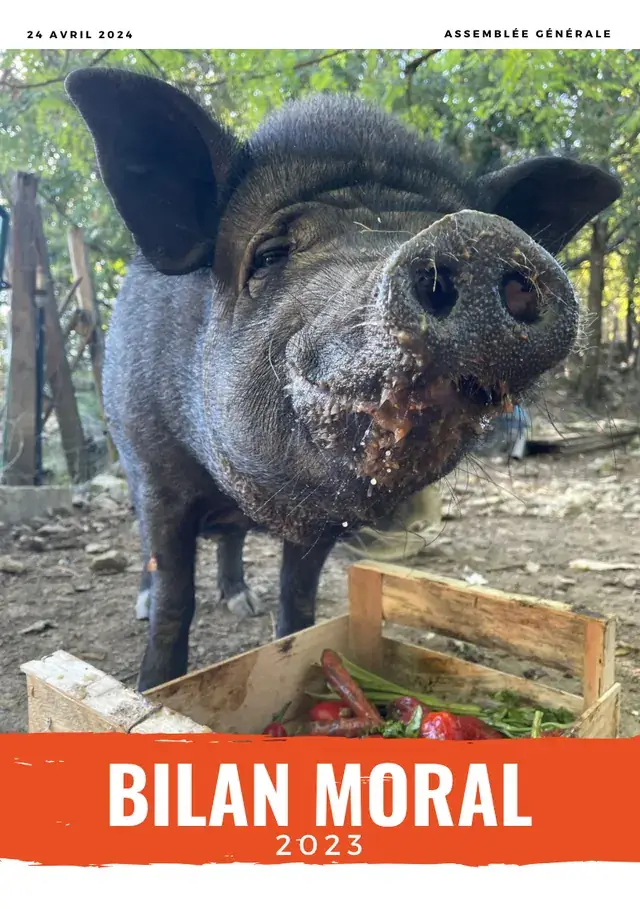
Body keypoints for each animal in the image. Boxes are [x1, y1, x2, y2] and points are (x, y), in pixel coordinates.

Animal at [64, 68, 622, 691]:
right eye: (269, 254)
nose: (477, 234)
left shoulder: (326, 521)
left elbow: (299, 597)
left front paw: (289, 647)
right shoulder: (158, 469)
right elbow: (174, 599)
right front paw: (152, 687)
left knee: (231, 540)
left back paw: (241, 602)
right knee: (152, 550)